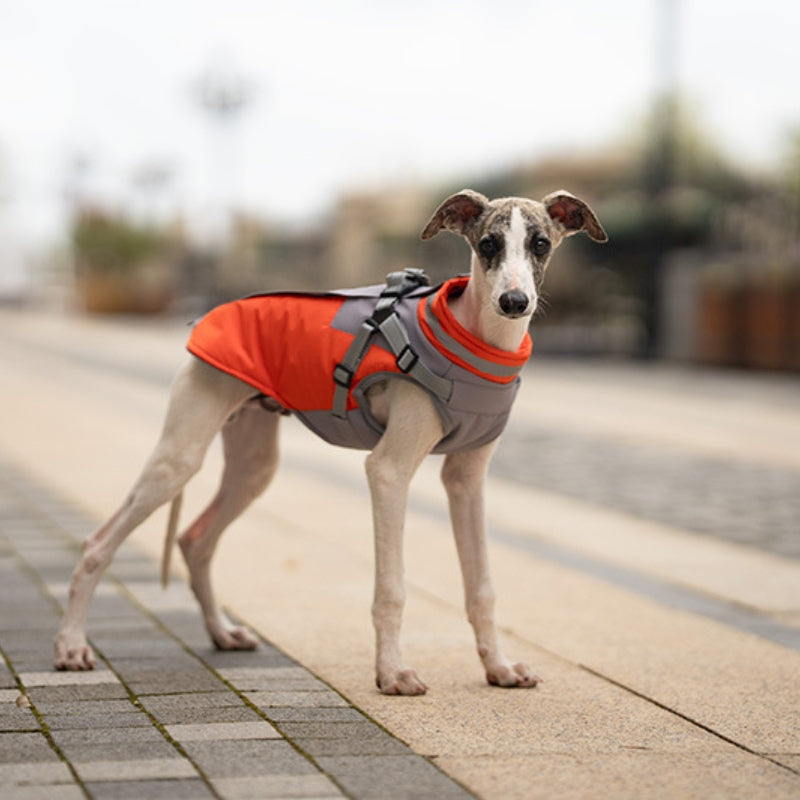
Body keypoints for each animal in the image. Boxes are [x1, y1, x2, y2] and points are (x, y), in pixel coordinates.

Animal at [54, 189, 608, 692]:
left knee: (195, 540)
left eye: (540, 243)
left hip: (254, 465)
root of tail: (212, 312)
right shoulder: (388, 471)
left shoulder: (466, 481)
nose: (514, 302)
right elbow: (392, 588)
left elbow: (482, 587)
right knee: (98, 544)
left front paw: (499, 668)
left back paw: (222, 633)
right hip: (180, 455)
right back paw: (72, 645)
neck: (478, 340)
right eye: (489, 243)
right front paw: (393, 673)